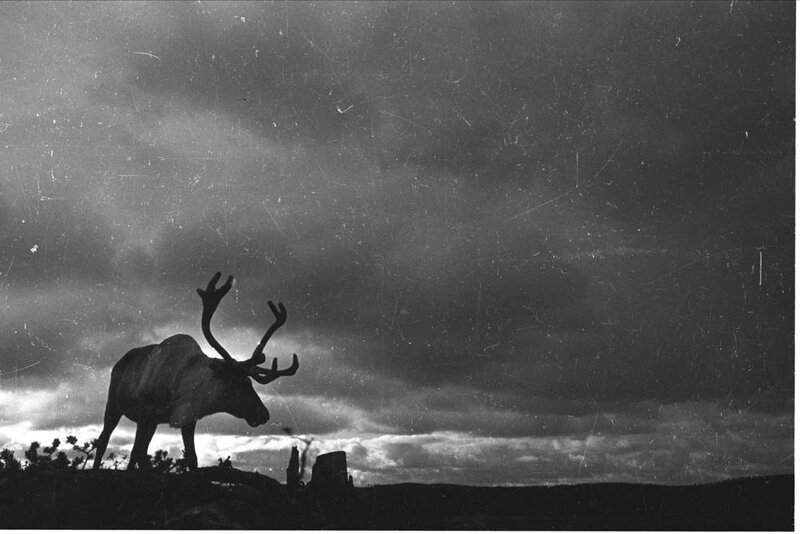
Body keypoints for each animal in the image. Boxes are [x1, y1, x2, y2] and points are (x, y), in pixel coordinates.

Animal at [92, 272, 299, 470]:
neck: (178, 389)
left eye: (250, 381)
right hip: (114, 405)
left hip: (152, 422)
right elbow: (137, 453)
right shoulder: (144, 413)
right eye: (237, 382)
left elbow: (191, 458)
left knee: (138, 452)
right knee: (104, 441)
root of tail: (120, 361)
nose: (264, 413)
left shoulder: (187, 419)